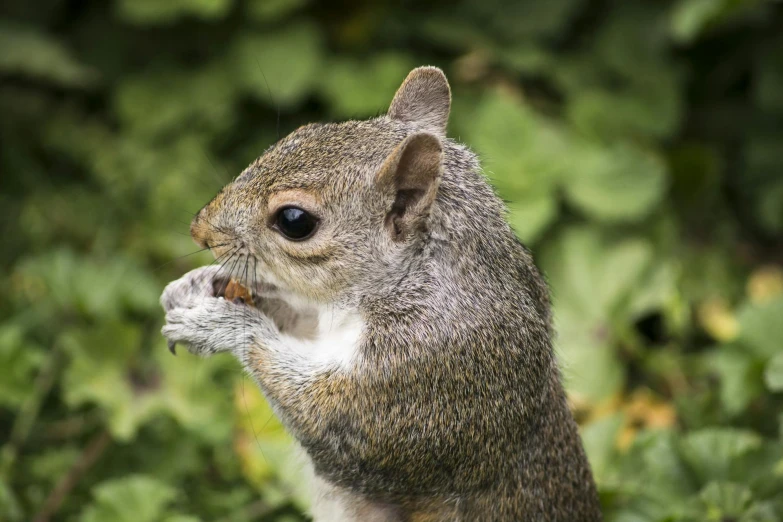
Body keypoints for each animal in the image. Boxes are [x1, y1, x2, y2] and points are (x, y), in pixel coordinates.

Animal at [159, 67, 600, 516]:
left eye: (294, 220)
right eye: (301, 132)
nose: (199, 231)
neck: (400, 284)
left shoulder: (419, 377)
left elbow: (325, 421)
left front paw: (224, 324)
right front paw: (198, 284)